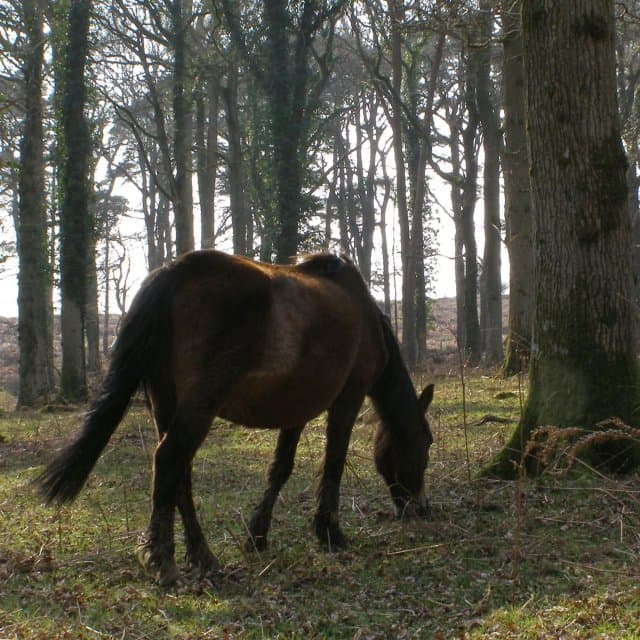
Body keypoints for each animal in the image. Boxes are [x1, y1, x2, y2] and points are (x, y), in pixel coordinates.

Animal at [37, 250, 434, 586]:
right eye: (427, 443)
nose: (420, 508)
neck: (364, 314)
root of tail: (174, 273)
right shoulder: (347, 398)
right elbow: (333, 464)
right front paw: (329, 531)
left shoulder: (297, 407)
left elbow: (280, 468)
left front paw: (258, 534)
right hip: (200, 404)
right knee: (168, 461)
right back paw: (162, 560)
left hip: (166, 403)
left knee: (179, 474)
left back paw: (202, 556)